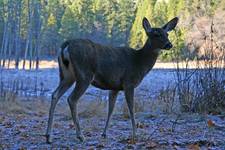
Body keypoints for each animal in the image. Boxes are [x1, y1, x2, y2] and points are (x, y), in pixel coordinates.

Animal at [45, 16, 178, 144]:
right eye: (156, 34)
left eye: (167, 34)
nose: (169, 44)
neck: (139, 62)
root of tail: (65, 46)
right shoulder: (129, 82)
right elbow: (131, 109)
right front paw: (135, 135)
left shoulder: (114, 87)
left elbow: (111, 109)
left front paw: (104, 134)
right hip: (84, 74)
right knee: (71, 99)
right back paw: (80, 136)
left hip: (67, 75)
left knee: (55, 94)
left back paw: (48, 136)